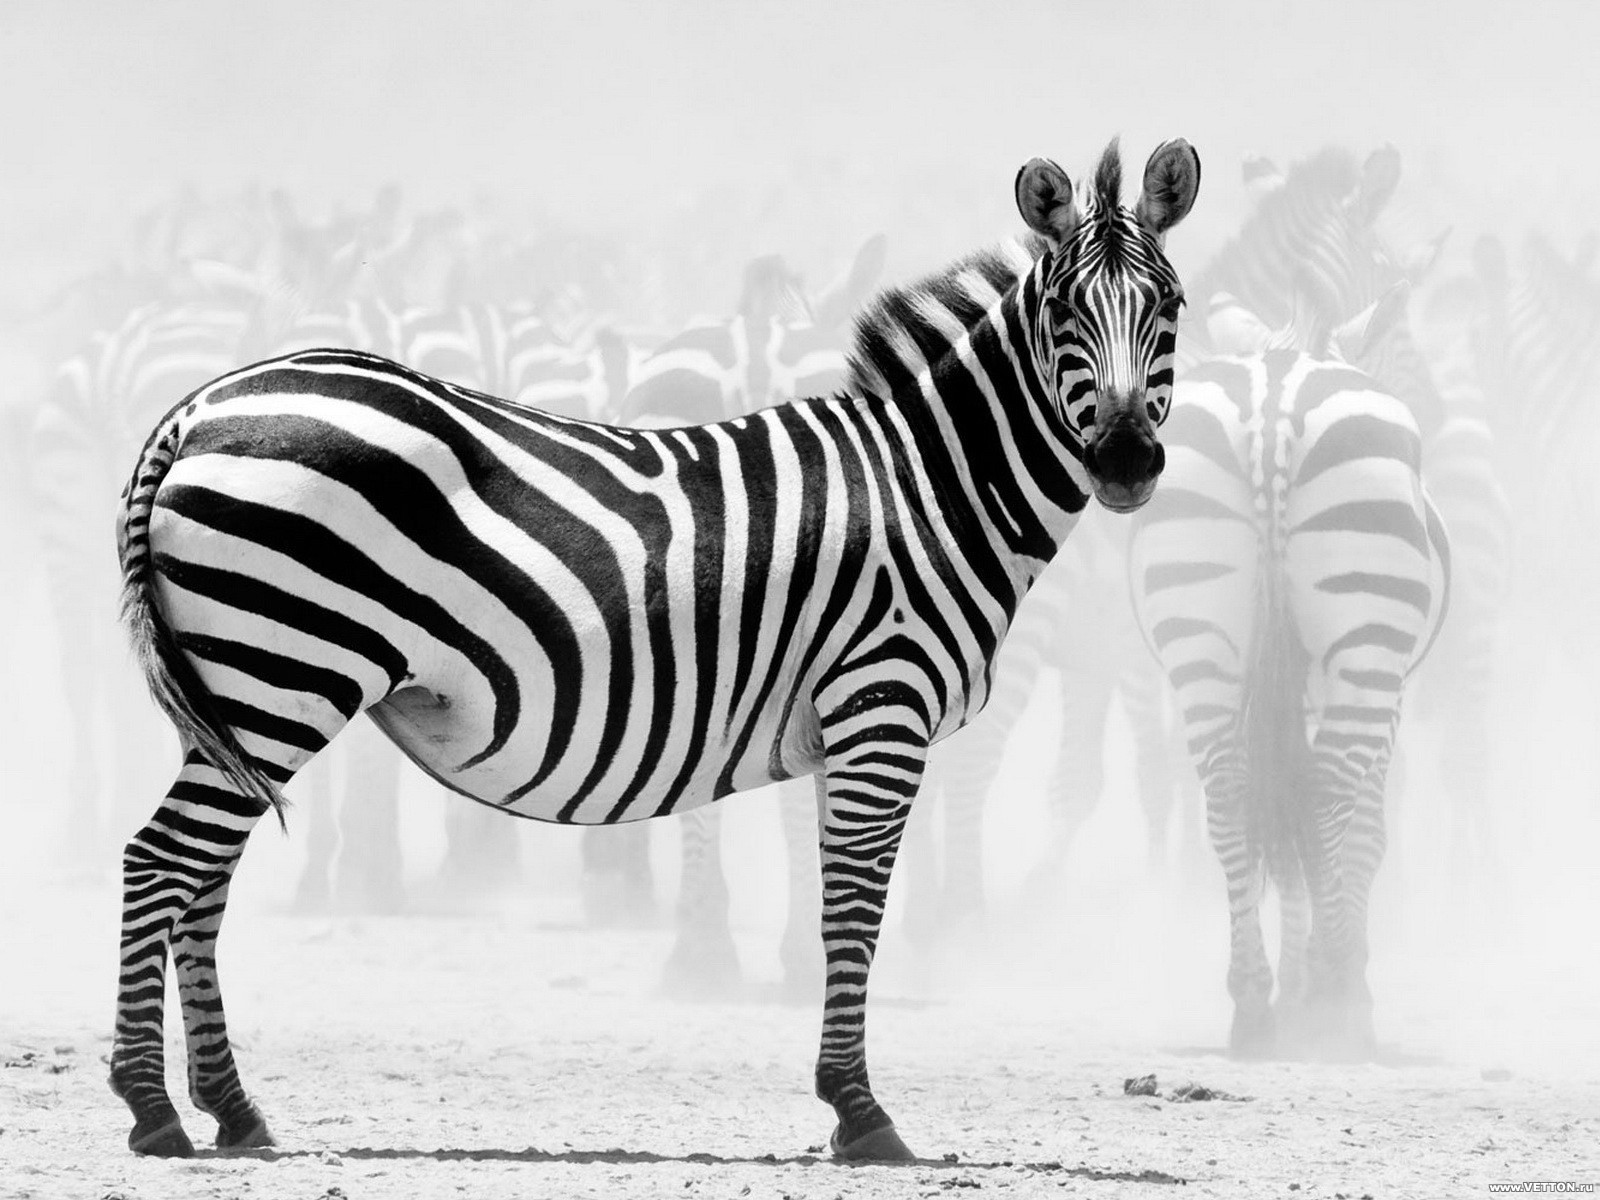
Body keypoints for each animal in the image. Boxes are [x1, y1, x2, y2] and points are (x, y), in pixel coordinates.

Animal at [108, 138, 1200, 1160]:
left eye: (1172, 307)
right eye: (1062, 313)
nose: (1125, 463)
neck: (928, 485)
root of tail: (198, 410)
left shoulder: (843, 726)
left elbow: (835, 899)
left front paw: (843, 1096)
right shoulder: (881, 708)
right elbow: (855, 909)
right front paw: (859, 1111)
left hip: (241, 692)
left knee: (202, 875)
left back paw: (232, 1108)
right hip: (282, 670)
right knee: (159, 859)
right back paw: (153, 1109)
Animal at [1128, 286, 1450, 1060]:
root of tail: (1273, 400)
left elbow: (1282, 826)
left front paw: (1293, 985)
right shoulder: (1389, 698)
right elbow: (1363, 833)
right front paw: (1323, 984)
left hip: (1199, 630)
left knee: (1230, 796)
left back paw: (1253, 1003)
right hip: (1367, 638)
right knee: (1328, 794)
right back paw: (1340, 1000)